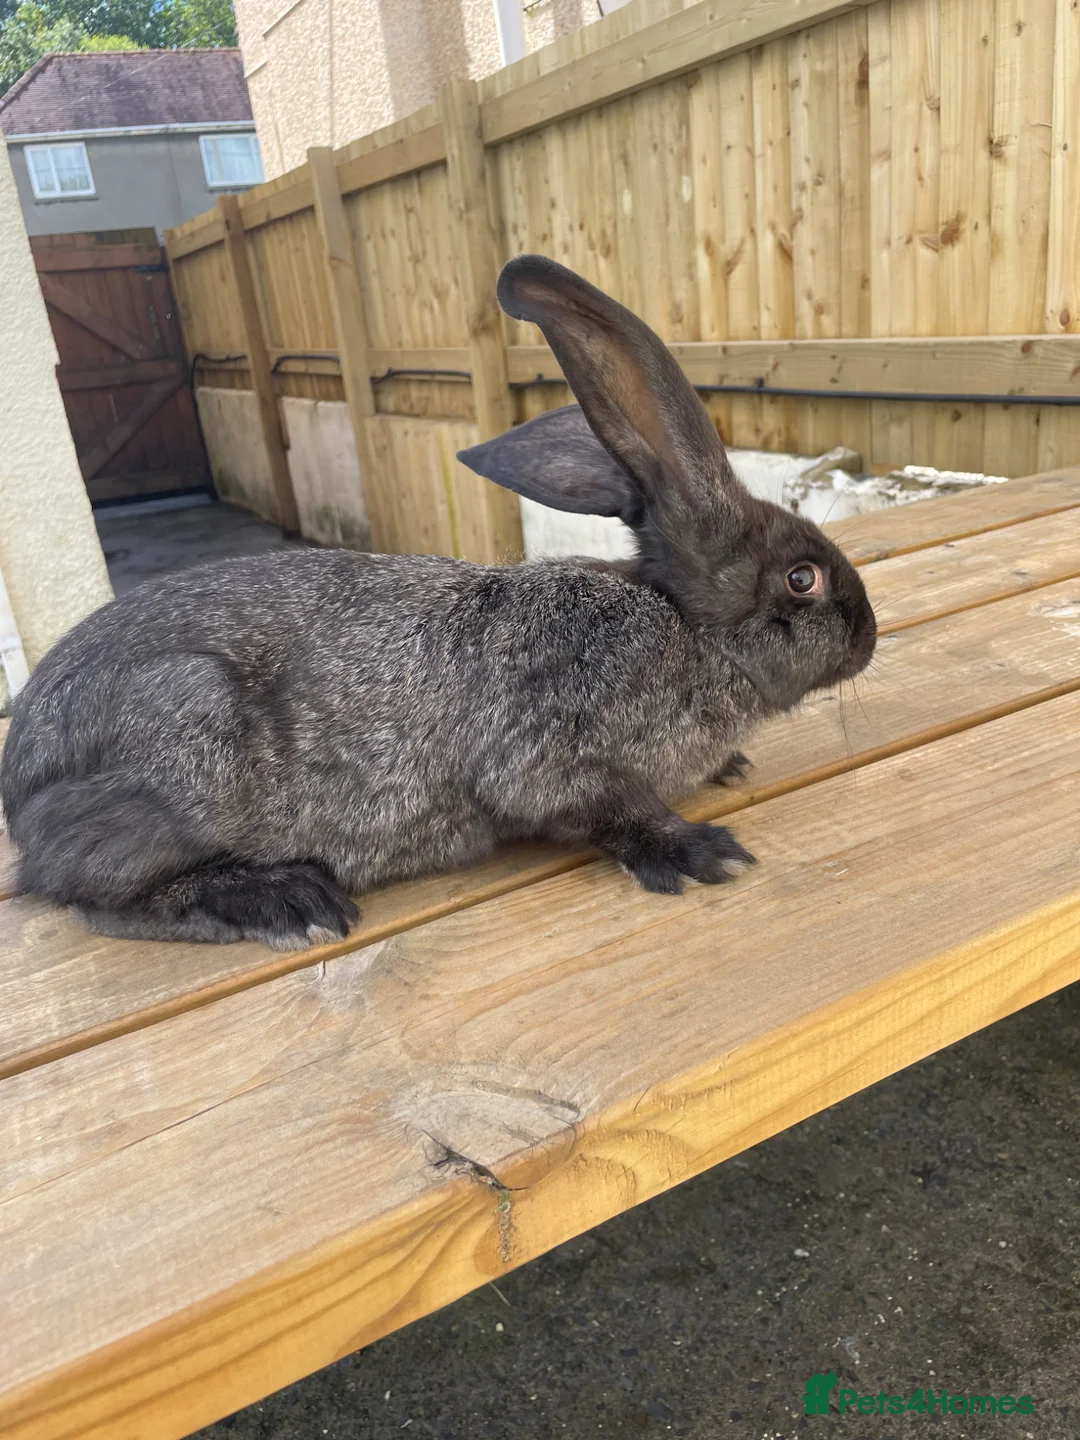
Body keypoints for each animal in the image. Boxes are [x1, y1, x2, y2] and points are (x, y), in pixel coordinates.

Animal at [0, 255, 876, 952]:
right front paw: (702, 851)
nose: (869, 637)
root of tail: (22, 792)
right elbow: (608, 810)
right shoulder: (547, 757)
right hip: (184, 739)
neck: (687, 633)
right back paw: (284, 901)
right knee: (98, 898)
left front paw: (729, 768)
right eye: (803, 579)